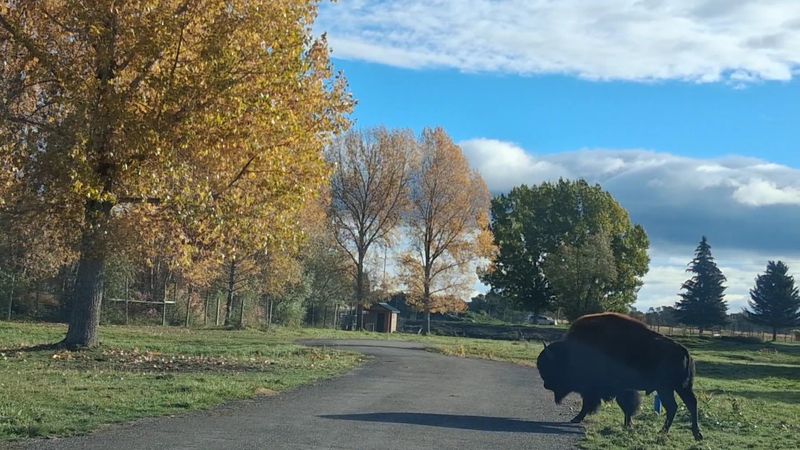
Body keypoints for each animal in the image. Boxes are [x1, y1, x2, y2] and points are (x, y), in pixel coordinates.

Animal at [537, 312, 702, 440]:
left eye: (551, 368)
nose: (546, 385)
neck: (571, 353)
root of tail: (685, 351)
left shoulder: (602, 389)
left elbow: (608, 404)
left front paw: (576, 418)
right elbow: (622, 405)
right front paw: (628, 425)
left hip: (668, 388)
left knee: (678, 406)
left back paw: (669, 432)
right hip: (678, 388)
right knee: (685, 405)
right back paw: (691, 434)